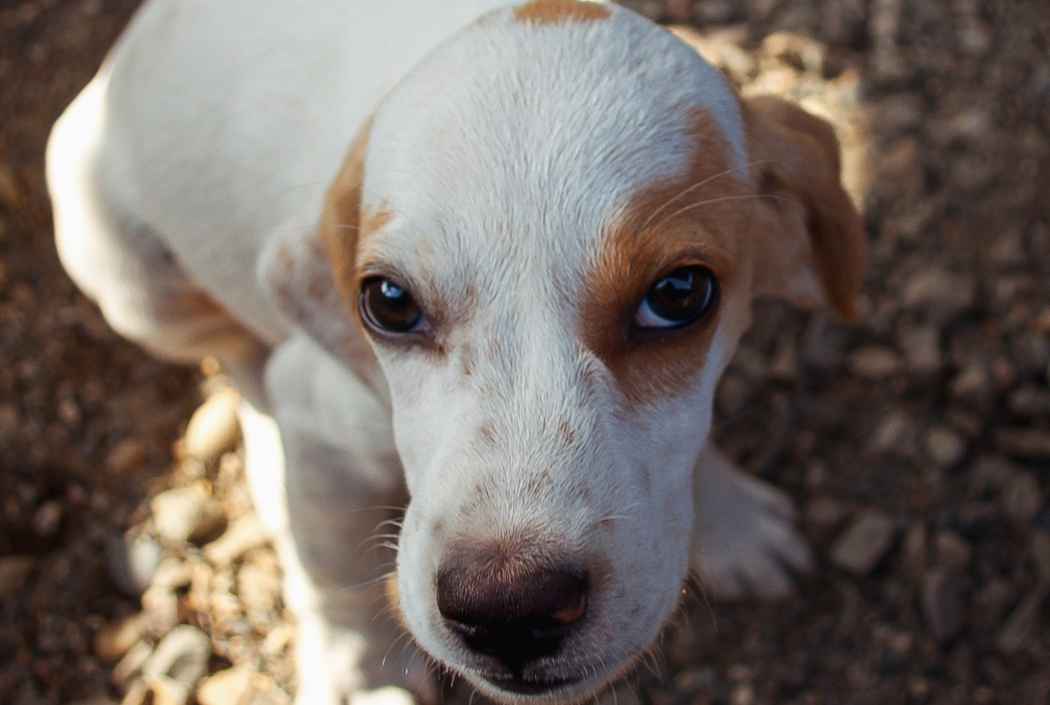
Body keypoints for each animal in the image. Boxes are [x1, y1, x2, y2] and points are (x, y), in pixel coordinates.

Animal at [47, 1, 860, 705]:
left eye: (680, 293)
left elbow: (693, 443)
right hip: (135, 286)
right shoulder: (323, 420)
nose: (511, 611)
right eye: (388, 301)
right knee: (238, 360)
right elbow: (334, 572)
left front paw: (730, 523)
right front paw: (356, 677)